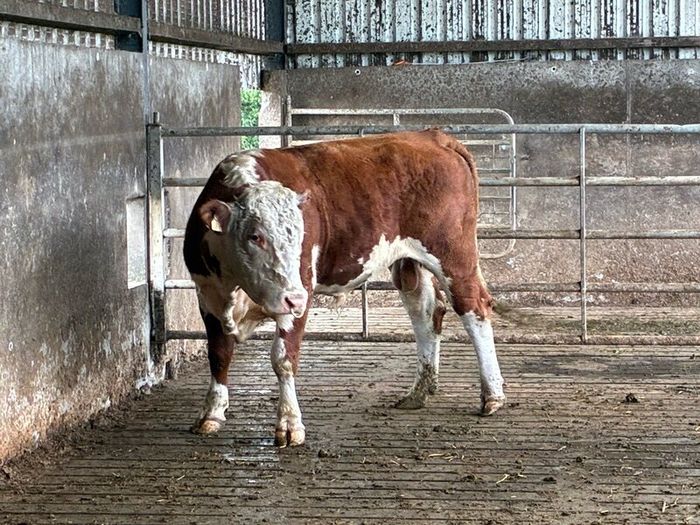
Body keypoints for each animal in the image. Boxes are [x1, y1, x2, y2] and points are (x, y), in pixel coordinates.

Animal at [183, 129, 506, 447]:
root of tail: (432, 136)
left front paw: (289, 424)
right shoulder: (208, 296)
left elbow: (283, 358)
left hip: (453, 256)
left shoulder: (300, 291)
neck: (236, 285)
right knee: (427, 314)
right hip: (408, 262)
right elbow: (219, 353)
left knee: (474, 309)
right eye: (255, 236)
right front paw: (211, 413)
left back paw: (492, 395)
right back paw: (419, 392)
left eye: (302, 236)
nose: (295, 298)